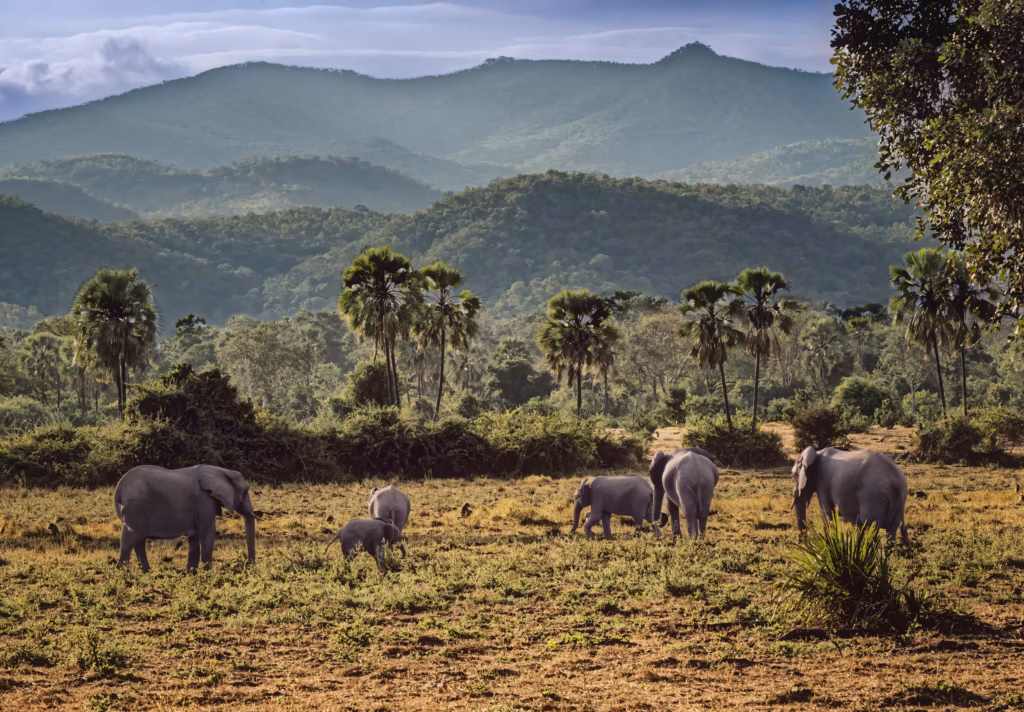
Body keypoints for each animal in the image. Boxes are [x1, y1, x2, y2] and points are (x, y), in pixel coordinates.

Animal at [114, 464, 257, 572]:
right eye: (244, 492)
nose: (248, 565)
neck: (223, 471)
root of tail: (119, 487)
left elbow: (194, 539)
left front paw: (191, 574)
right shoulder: (203, 501)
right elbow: (208, 533)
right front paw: (207, 574)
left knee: (138, 542)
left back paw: (146, 572)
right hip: (134, 508)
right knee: (128, 541)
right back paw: (123, 573)